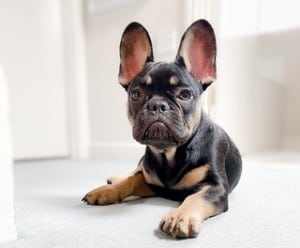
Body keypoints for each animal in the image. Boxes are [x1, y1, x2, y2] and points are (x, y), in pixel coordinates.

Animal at [82, 19, 241, 238]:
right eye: (136, 95)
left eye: (185, 95)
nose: (157, 105)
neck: (169, 154)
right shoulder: (151, 182)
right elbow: (132, 180)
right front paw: (108, 190)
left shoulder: (215, 187)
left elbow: (196, 197)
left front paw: (180, 216)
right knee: (134, 170)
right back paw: (113, 180)